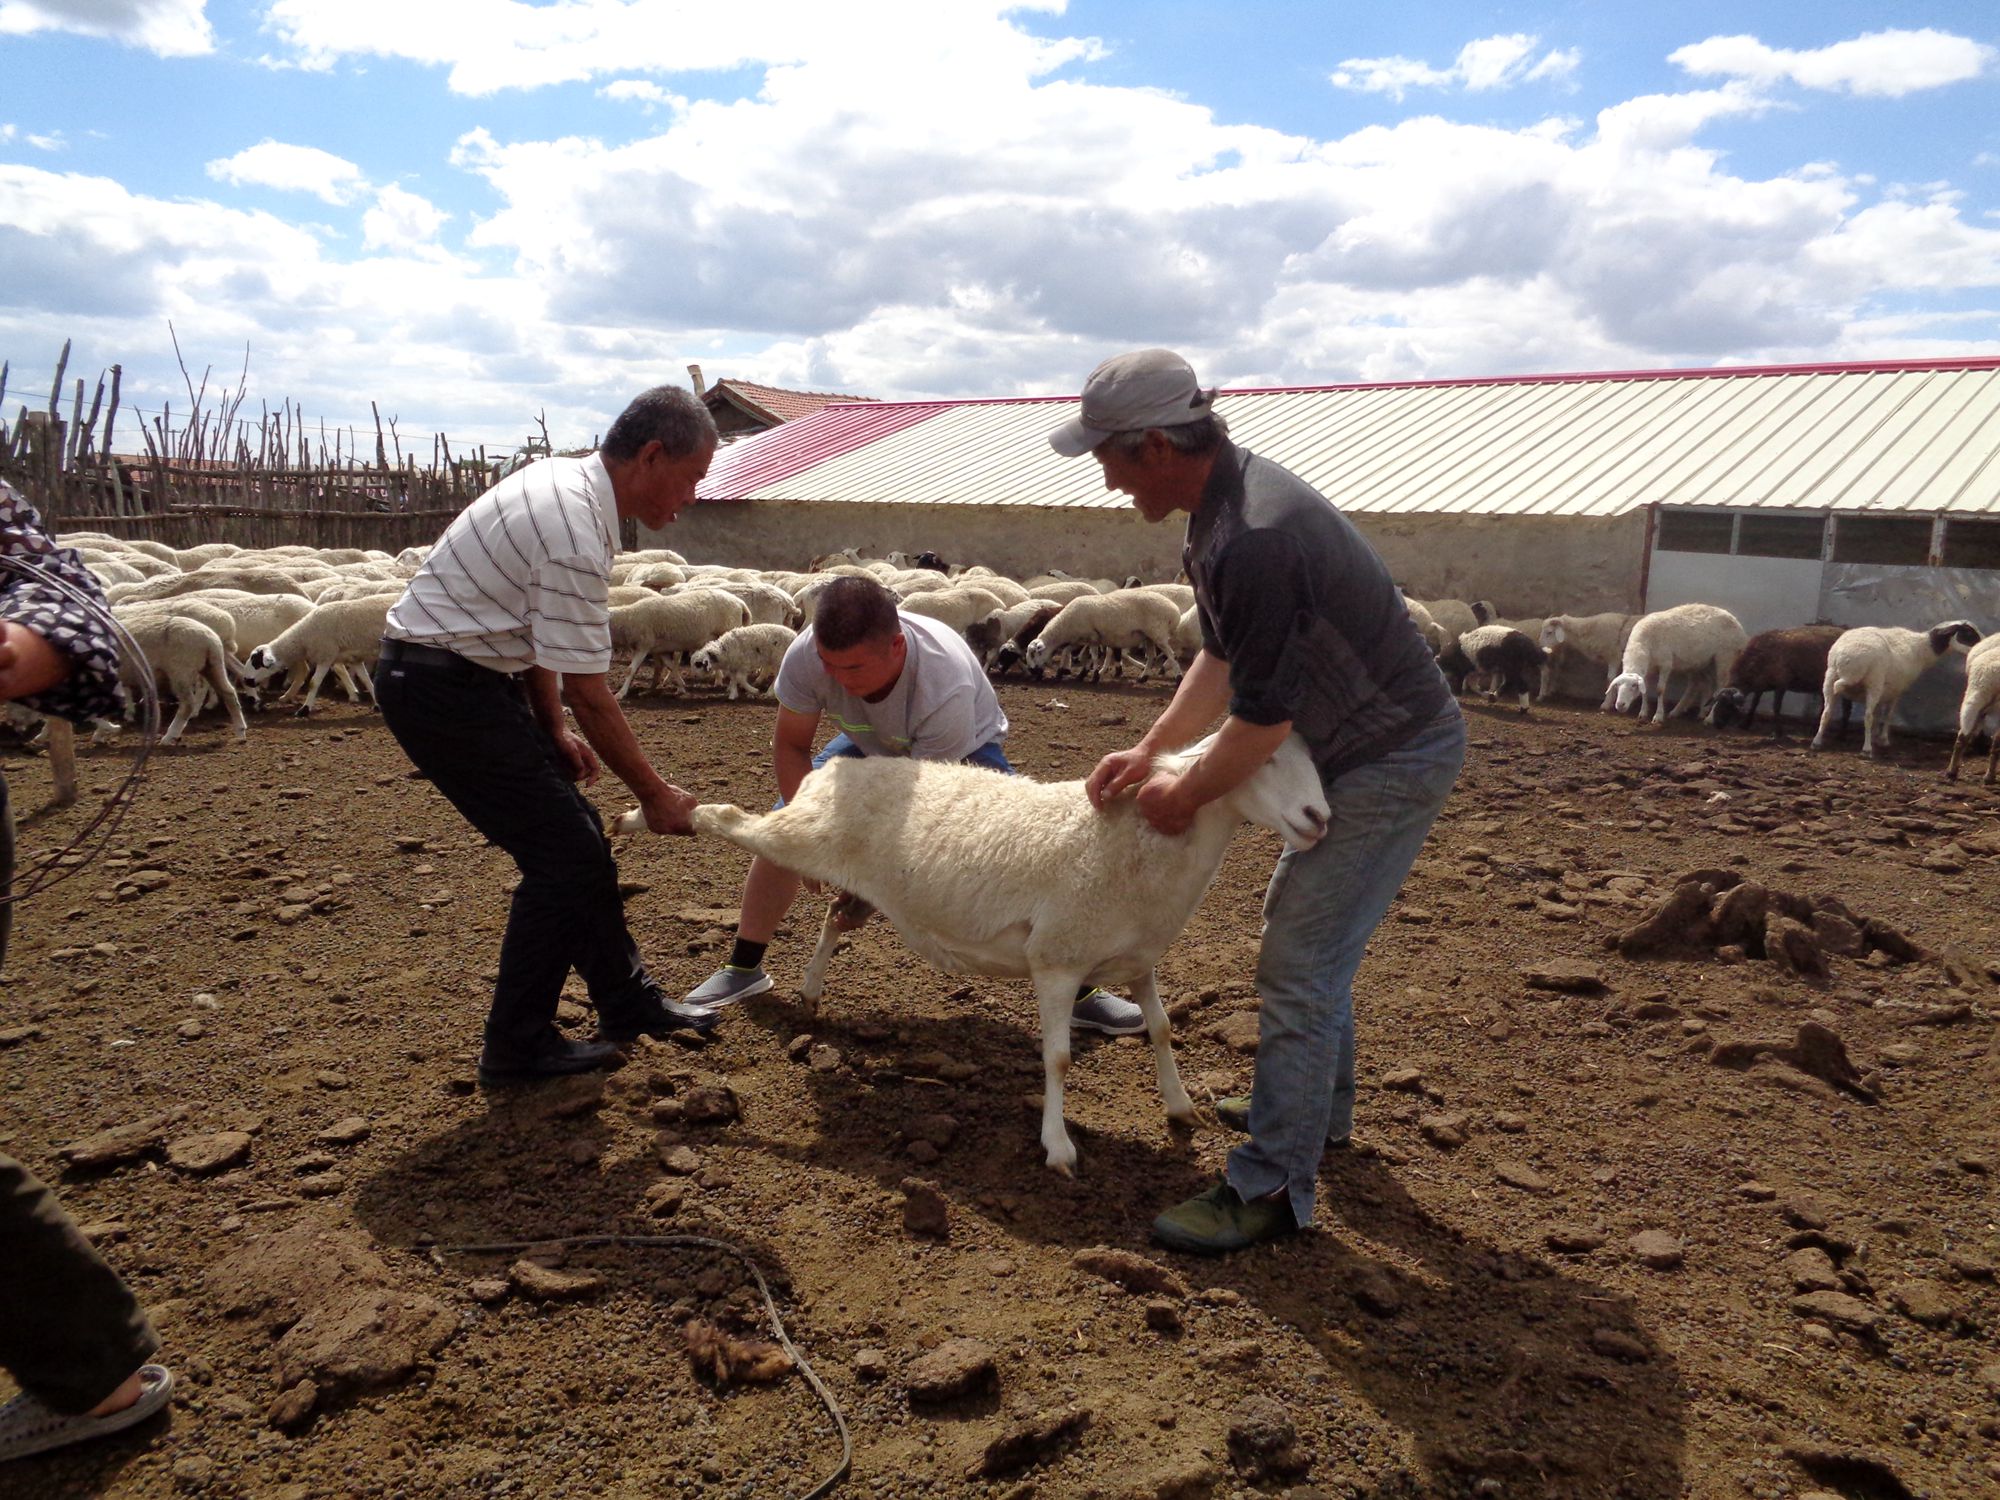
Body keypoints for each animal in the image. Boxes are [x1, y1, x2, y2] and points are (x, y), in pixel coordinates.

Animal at [608, 736, 1328, 1184]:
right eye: (1263, 758)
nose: (1319, 816)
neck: (1143, 837)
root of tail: (832, 770)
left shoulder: (1136, 956)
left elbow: (1160, 1028)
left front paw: (1179, 1107)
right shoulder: (1057, 957)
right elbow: (1058, 1059)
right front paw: (1058, 1147)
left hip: (864, 888)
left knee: (832, 919)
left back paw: (812, 992)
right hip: (797, 835)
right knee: (728, 817)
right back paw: (647, 816)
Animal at [1600, 608, 1744, 732]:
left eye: (1634, 686)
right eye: (1617, 686)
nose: (1620, 705)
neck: (1643, 644)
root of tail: (1737, 623)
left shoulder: (1666, 664)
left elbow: (1660, 689)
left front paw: (1658, 716)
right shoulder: (1649, 668)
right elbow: (1645, 691)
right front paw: (1643, 712)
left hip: (1725, 656)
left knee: (1720, 687)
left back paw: (1708, 718)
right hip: (1700, 661)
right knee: (1701, 683)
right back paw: (1690, 711)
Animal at [1712, 624, 1848, 736]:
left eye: (1729, 705)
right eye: (1718, 701)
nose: (1716, 723)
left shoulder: (1781, 684)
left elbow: (1776, 707)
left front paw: (1778, 732)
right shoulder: (1761, 684)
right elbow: (1754, 703)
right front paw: (1745, 724)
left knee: (1846, 705)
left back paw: (1841, 735)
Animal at [1816, 624, 1984, 764]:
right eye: (1968, 633)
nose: (1985, 644)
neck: (1923, 648)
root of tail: (1849, 658)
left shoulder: (1886, 690)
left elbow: (1879, 714)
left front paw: (1877, 736)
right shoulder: (1897, 690)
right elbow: (1887, 715)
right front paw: (1883, 739)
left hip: (1830, 676)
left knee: (1827, 712)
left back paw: (1817, 742)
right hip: (1874, 681)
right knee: (1867, 717)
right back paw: (1867, 749)